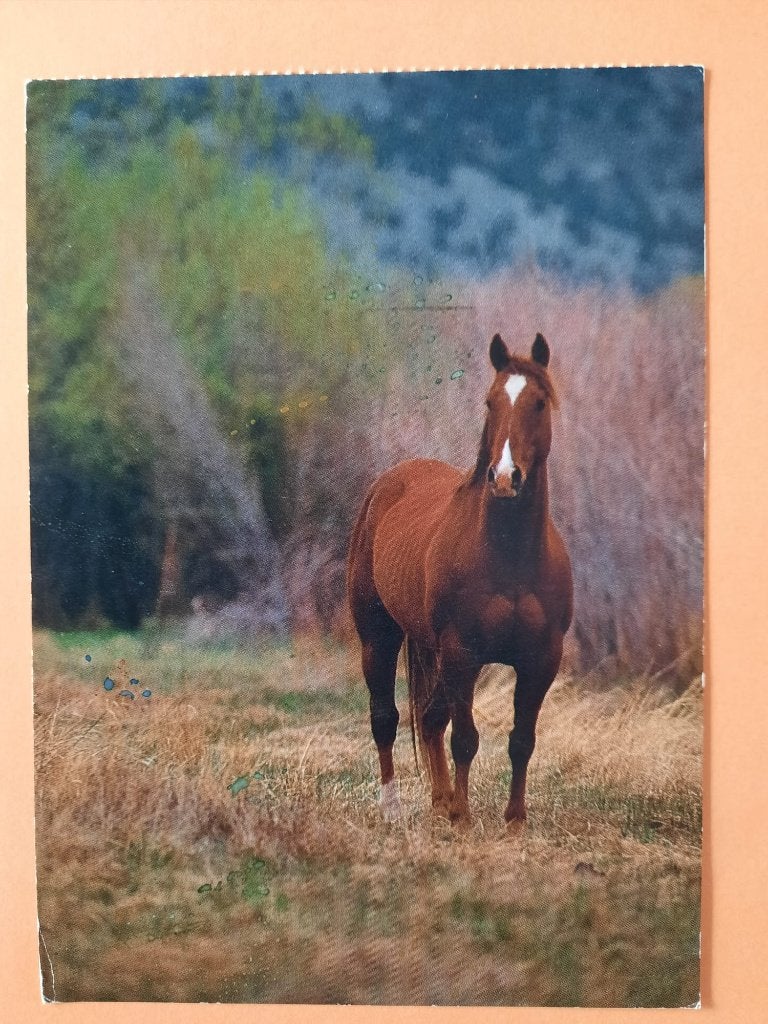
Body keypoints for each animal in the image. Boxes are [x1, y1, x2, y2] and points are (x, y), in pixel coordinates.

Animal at [347, 331, 573, 825]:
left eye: (539, 403)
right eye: (490, 402)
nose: (505, 479)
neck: (510, 559)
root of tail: (388, 483)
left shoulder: (540, 660)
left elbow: (521, 741)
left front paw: (513, 821)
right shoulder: (461, 652)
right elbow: (465, 739)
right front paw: (464, 819)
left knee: (430, 719)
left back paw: (439, 801)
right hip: (379, 638)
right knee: (386, 718)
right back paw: (395, 808)